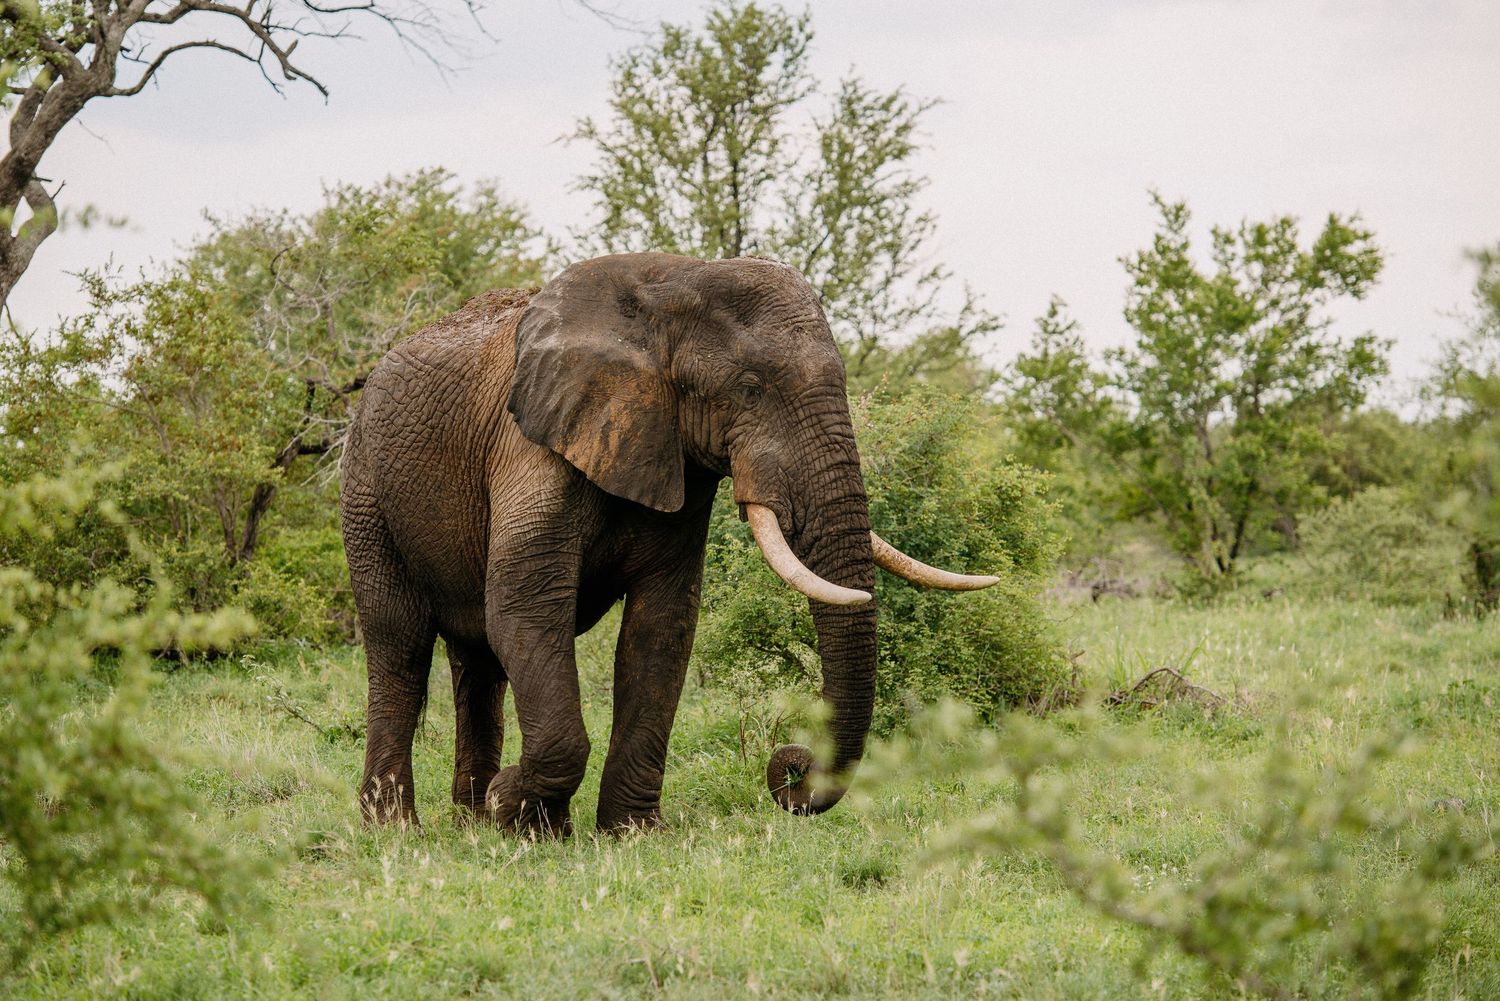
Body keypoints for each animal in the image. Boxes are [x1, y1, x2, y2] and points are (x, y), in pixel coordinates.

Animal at [339, 252, 998, 836]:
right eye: (750, 388)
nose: (790, 768)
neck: (671, 287)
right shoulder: (530, 446)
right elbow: (526, 610)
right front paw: (520, 814)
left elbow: (661, 628)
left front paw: (627, 833)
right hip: (365, 487)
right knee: (399, 642)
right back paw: (397, 829)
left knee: (476, 663)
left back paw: (470, 823)